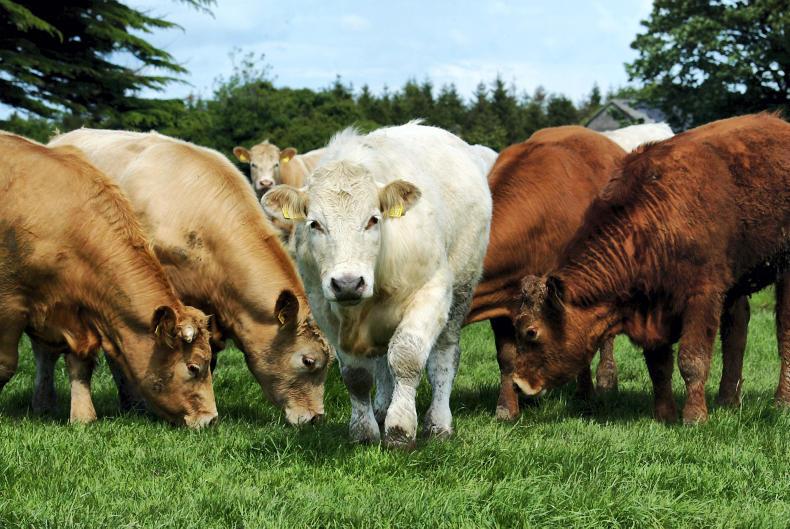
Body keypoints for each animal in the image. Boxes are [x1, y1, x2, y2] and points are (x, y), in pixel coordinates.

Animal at [0, 132, 217, 427]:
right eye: (194, 367)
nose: (211, 419)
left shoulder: (76, 311)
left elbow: (80, 364)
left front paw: (82, 417)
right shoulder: (9, 304)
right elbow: (5, 364)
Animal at [262, 122, 492, 447]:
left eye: (373, 219)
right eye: (315, 224)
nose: (347, 283)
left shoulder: (432, 292)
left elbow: (408, 359)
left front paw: (400, 429)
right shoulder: (323, 305)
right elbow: (357, 375)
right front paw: (364, 431)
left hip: (461, 290)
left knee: (443, 357)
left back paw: (438, 423)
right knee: (383, 362)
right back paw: (382, 409)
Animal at [514, 113, 790, 424]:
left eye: (531, 332)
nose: (517, 383)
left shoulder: (703, 296)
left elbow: (692, 359)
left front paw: (694, 417)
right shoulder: (651, 306)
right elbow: (659, 366)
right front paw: (664, 415)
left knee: (785, 333)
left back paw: (781, 402)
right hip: (736, 284)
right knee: (737, 332)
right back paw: (727, 400)